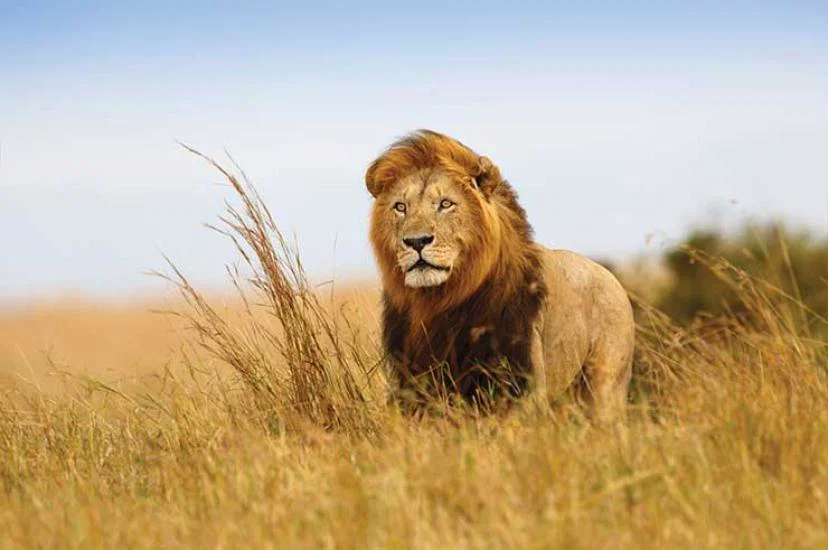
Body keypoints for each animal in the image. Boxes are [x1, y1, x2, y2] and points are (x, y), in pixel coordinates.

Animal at [365, 130, 635, 421]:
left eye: (446, 204)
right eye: (400, 207)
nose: (416, 241)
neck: (439, 301)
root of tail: (612, 278)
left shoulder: (521, 382)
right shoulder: (412, 381)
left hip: (604, 387)